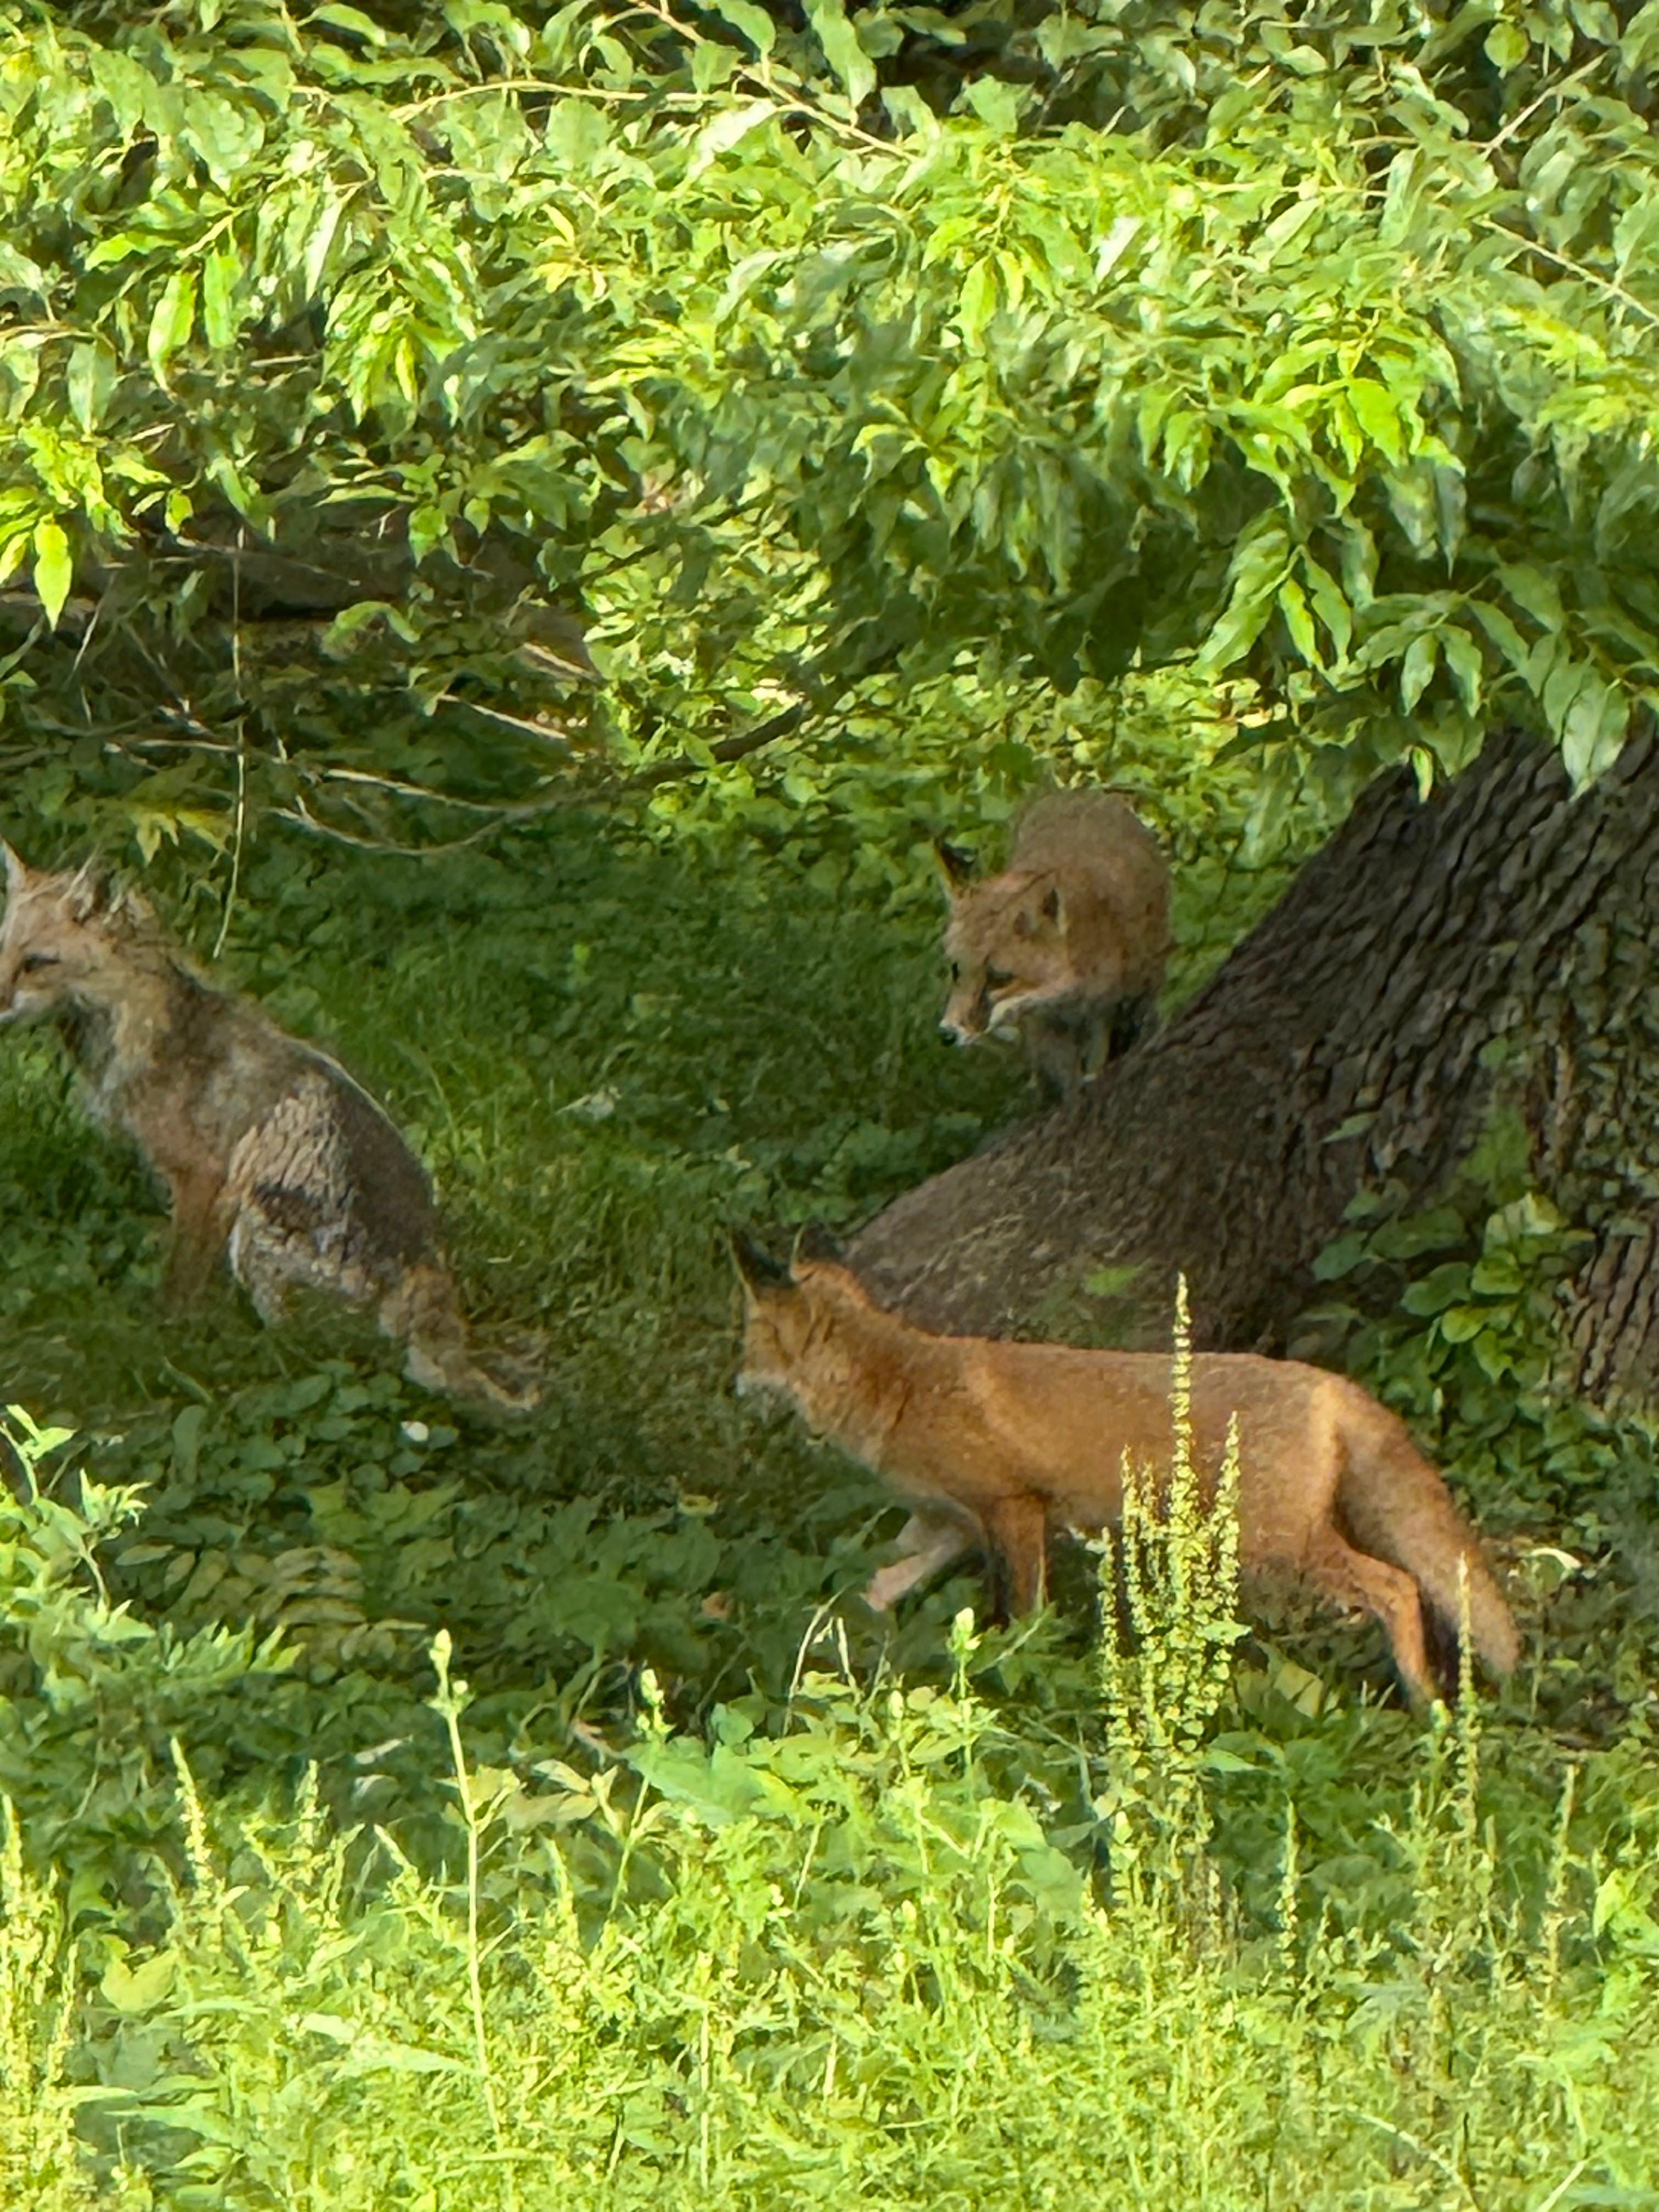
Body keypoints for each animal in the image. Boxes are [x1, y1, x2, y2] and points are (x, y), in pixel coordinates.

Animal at [0, 848, 536, 1413]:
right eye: (2, 951)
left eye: (37, 962)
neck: (140, 1027)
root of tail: (429, 1284)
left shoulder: (205, 1179)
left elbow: (178, 1286)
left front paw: (167, 1343)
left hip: (255, 1230)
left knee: (304, 1354)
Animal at [732, 1231, 1519, 1706]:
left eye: (748, 1341)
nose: (733, 1383)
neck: (901, 1388)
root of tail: (1327, 1383)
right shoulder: (946, 1525)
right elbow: (868, 1590)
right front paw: (821, 1644)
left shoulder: (1015, 1508)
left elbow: (1024, 1616)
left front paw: (1021, 1676)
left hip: (1280, 1545)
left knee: (1401, 1587)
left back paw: (1422, 1696)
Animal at [938, 789, 1171, 1102]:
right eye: (956, 970)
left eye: (999, 978)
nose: (947, 1034)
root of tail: (1078, 793)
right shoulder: (1045, 1025)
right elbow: (1065, 1080)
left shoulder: (1108, 1013)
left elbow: (1097, 1065)